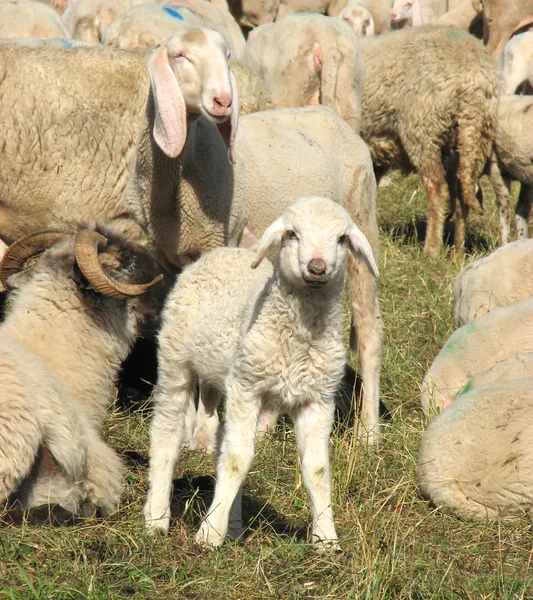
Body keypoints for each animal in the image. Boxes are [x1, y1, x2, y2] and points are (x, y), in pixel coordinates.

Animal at [143, 197, 378, 548]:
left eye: (341, 239)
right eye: (292, 234)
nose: (317, 267)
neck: (299, 338)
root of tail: (221, 253)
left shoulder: (318, 398)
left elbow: (317, 470)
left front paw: (326, 538)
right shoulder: (247, 387)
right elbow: (237, 461)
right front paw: (209, 534)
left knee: (221, 443)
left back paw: (233, 524)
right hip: (176, 359)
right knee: (166, 433)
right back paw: (157, 517)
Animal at [358, 26, 498, 255]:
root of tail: (473, 82)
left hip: (422, 130)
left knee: (437, 188)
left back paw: (431, 249)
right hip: (476, 137)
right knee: (462, 190)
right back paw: (457, 252)